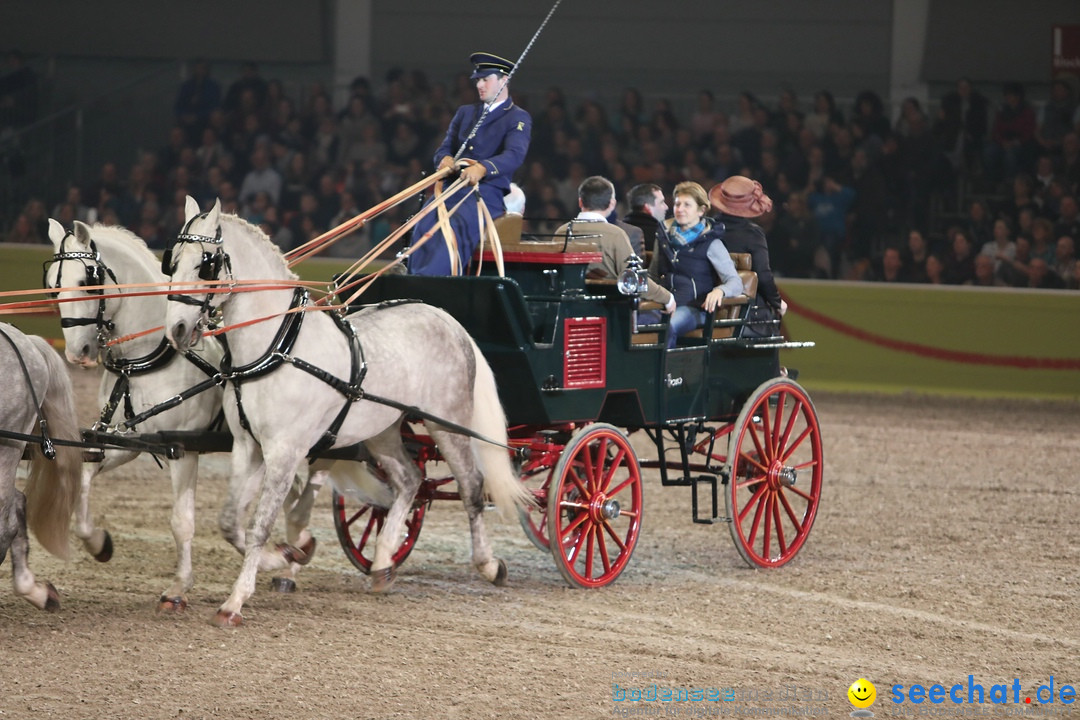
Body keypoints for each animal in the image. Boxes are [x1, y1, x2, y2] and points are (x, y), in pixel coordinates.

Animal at [44, 218, 321, 608]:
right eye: (53, 285)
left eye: (87, 280)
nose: (77, 353)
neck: (146, 359)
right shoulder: (130, 440)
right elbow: (84, 481)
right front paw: (99, 544)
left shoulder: (182, 449)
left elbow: (182, 522)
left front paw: (179, 588)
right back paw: (294, 555)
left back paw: (293, 561)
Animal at [164, 197, 531, 626]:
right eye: (172, 262)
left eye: (205, 264)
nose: (176, 329)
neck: (276, 346)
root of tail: (448, 320)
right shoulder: (247, 447)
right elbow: (230, 523)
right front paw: (286, 555)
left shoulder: (285, 452)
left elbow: (260, 524)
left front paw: (235, 601)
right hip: (384, 430)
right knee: (410, 480)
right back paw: (383, 563)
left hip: (448, 424)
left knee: (472, 486)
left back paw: (489, 565)